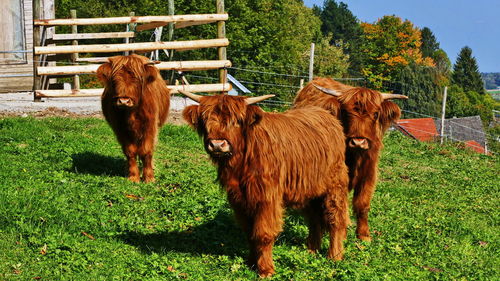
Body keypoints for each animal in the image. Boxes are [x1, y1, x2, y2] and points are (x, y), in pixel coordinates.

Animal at [96, 53, 171, 183]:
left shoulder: (150, 127)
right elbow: (130, 151)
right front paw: (133, 176)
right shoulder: (120, 129)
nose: (123, 101)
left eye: (137, 78)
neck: (131, 113)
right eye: (114, 79)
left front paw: (149, 178)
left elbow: (147, 151)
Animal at [182, 91, 350, 276]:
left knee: (336, 218)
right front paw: (250, 263)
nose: (217, 144)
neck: (241, 163)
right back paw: (312, 250)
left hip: (335, 185)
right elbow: (249, 232)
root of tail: (326, 114)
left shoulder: (267, 198)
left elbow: (263, 233)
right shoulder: (239, 199)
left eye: (237, 120)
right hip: (308, 190)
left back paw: (335, 256)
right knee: (314, 219)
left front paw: (265, 269)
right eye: (206, 119)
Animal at [292, 76, 406, 241]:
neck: (356, 157)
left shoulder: (369, 173)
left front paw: (364, 235)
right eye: (346, 113)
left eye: (376, 114)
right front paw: (343, 232)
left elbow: (363, 204)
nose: (358, 141)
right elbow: (341, 204)